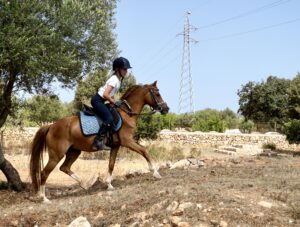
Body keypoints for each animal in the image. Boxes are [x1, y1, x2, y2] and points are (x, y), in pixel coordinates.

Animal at [29, 80, 169, 201]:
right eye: (157, 94)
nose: (166, 108)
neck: (126, 114)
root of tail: (51, 126)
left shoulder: (116, 146)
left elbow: (111, 164)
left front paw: (109, 185)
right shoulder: (127, 141)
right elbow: (144, 151)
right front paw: (155, 172)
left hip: (74, 151)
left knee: (64, 167)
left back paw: (84, 184)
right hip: (56, 154)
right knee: (44, 172)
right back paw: (44, 198)